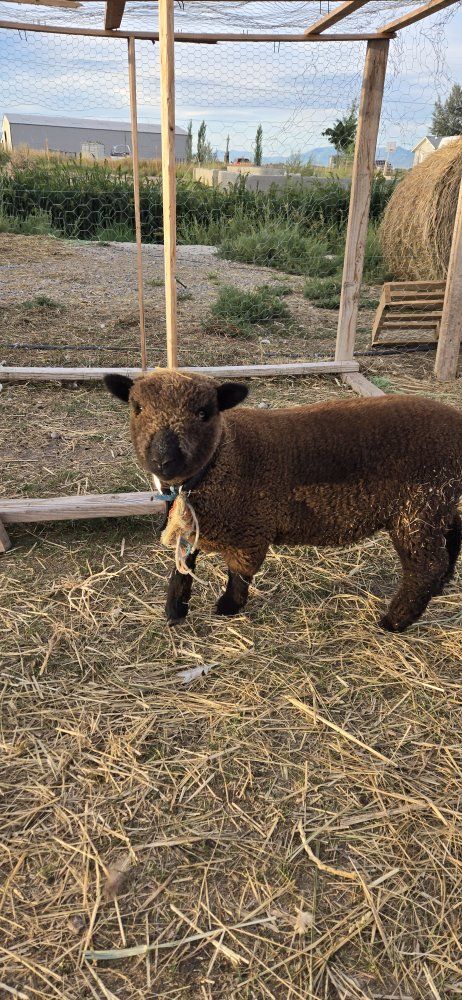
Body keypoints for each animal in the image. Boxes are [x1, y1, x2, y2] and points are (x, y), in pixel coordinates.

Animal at [104, 370, 462, 632]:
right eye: (137, 408)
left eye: (205, 412)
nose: (163, 460)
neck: (224, 456)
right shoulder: (194, 525)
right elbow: (183, 567)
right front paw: (174, 609)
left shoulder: (251, 527)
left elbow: (239, 573)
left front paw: (227, 608)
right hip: (438, 501)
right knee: (452, 534)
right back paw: (441, 584)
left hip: (418, 506)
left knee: (425, 566)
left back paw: (394, 621)